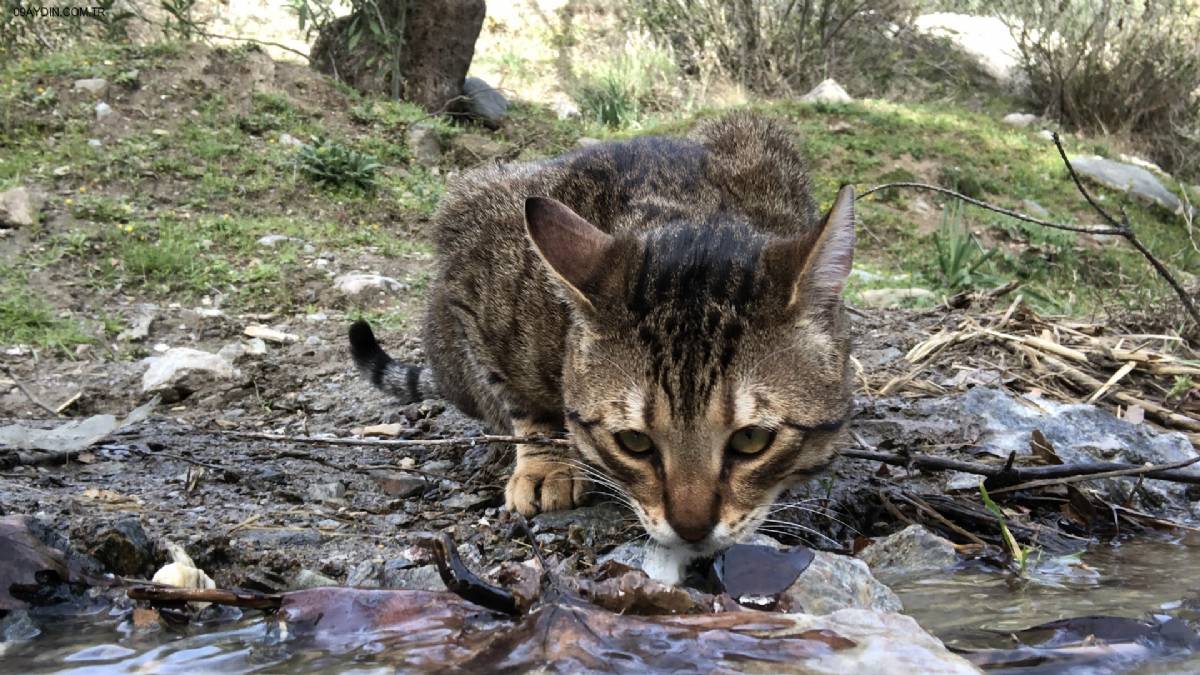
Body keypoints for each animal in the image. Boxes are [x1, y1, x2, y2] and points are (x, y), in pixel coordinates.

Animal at [348, 112, 854, 581]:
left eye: (752, 440)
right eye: (634, 441)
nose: (692, 529)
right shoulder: (474, 269)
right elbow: (527, 405)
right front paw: (545, 464)